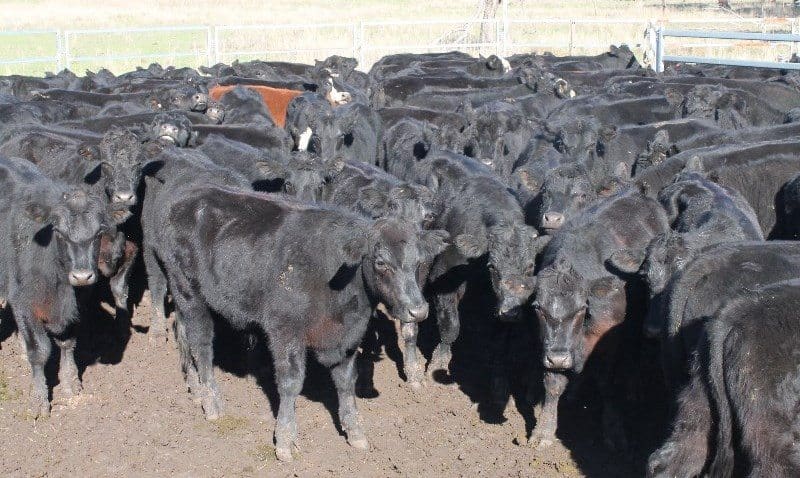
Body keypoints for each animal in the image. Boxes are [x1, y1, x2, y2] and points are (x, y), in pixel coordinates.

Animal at [0, 156, 108, 414]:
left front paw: (71, 382)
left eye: (99, 231)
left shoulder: (78, 304)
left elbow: (67, 343)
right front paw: (39, 399)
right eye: (58, 231)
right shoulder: (24, 302)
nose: (82, 276)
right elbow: (39, 351)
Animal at [148, 183, 450, 460]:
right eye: (380, 262)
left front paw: (355, 431)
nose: (419, 310)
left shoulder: (348, 337)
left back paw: (196, 388)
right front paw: (285, 439)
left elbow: (346, 382)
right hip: (188, 291)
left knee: (182, 332)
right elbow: (291, 383)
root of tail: (187, 193)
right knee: (201, 344)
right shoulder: (285, 331)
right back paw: (212, 403)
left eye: (418, 261)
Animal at [532, 188, 668, 452]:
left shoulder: (607, 342)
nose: (559, 358)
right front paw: (543, 430)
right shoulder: (548, 346)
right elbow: (552, 384)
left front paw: (613, 430)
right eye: (538, 309)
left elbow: (606, 382)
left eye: (580, 309)